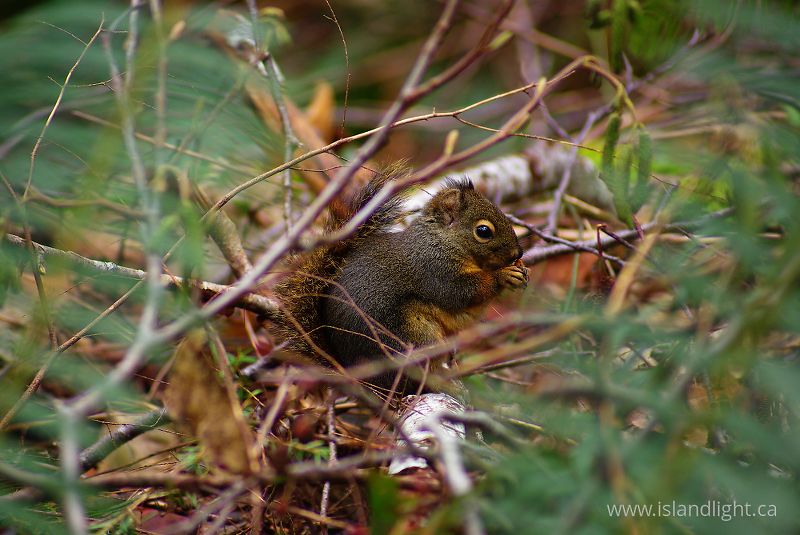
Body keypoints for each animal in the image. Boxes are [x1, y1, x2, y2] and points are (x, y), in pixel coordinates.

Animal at [272, 166, 528, 393]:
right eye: (483, 231)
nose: (518, 253)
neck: (442, 241)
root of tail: (363, 379)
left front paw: (521, 271)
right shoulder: (434, 269)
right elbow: (462, 293)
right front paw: (503, 275)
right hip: (414, 335)